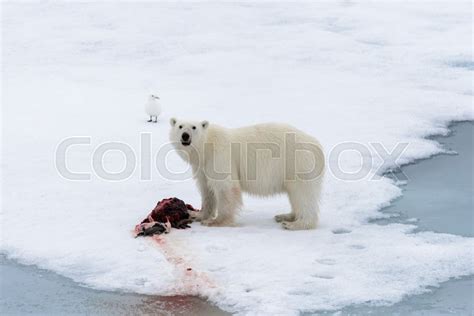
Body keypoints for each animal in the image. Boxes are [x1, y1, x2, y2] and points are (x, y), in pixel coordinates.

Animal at [168, 118, 324, 230]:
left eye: (194, 127)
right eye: (180, 126)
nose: (185, 136)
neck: (207, 145)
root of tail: (317, 146)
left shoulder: (220, 156)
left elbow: (226, 188)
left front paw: (216, 221)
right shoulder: (202, 167)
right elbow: (207, 190)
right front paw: (197, 215)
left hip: (298, 163)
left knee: (302, 194)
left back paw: (295, 224)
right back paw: (286, 216)